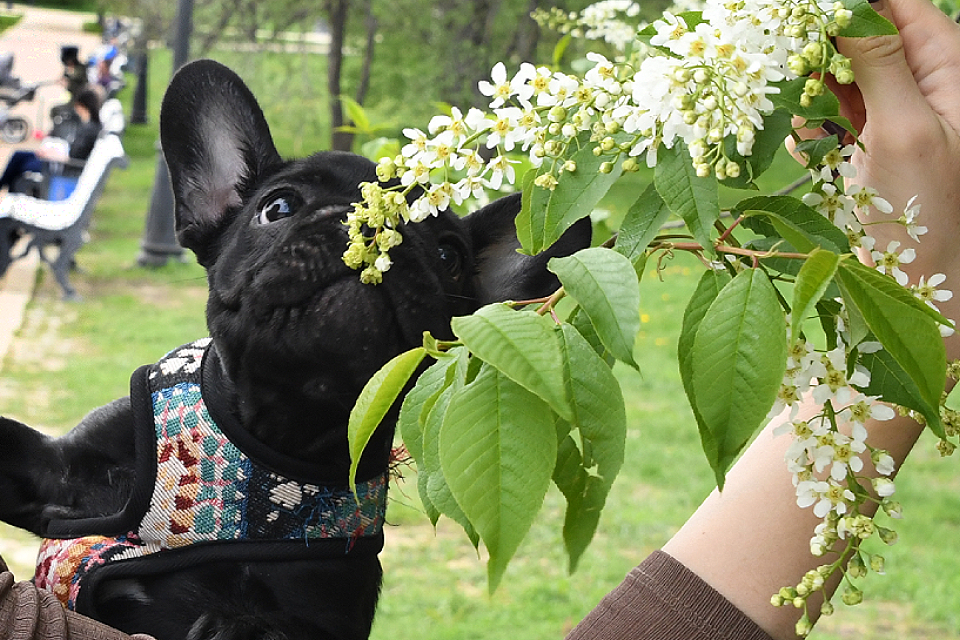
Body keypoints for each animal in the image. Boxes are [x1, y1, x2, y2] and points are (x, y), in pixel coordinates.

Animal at [0, 59, 591, 640]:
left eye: (448, 256)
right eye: (278, 207)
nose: (375, 224)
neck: (272, 442)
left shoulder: (330, 599)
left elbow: (274, 623)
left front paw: (235, 625)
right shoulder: (67, 472)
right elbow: (23, 448)